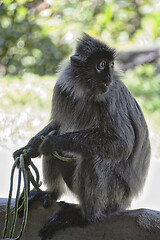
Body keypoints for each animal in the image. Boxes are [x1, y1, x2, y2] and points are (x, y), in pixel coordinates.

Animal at [13, 33, 151, 240]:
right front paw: (29, 148)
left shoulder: (110, 96)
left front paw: (54, 142)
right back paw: (51, 193)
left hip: (118, 194)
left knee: (91, 157)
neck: (85, 91)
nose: (109, 76)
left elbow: (122, 143)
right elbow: (56, 125)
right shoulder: (62, 88)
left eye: (111, 65)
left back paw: (85, 217)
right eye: (101, 65)